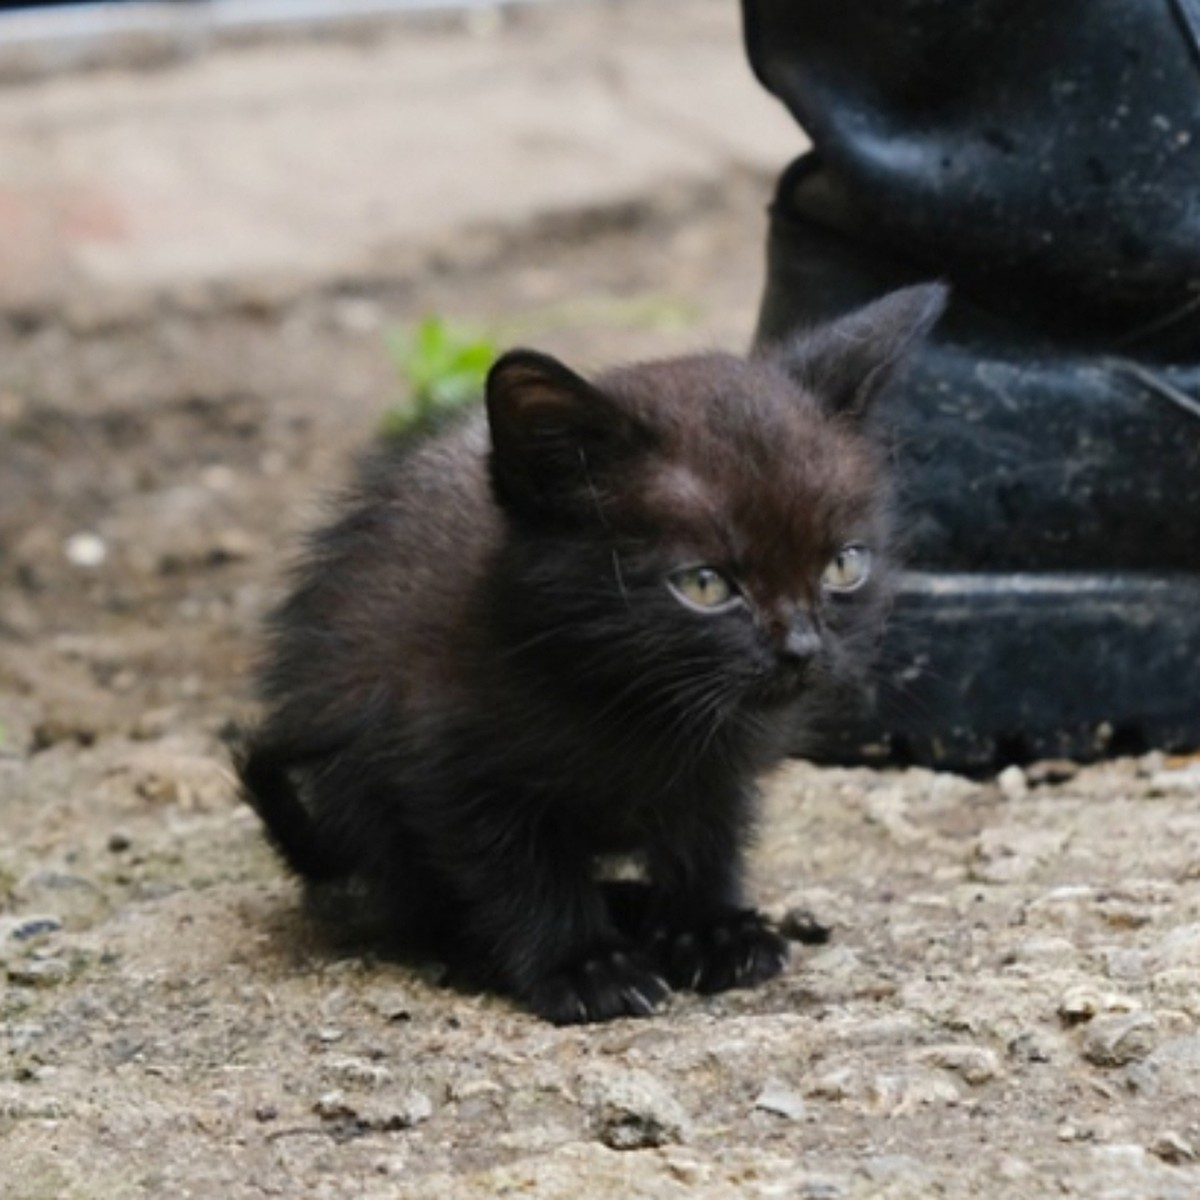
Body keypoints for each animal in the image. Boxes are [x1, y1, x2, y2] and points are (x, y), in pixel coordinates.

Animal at [236, 280, 945, 1022]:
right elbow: (517, 869)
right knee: (409, 890)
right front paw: (584, 965)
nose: (802, 647)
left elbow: (708, 835)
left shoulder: (720, 764)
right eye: (705, 585)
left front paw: (709, 929)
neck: (629, 700)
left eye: (844, 565)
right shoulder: (444, 761)